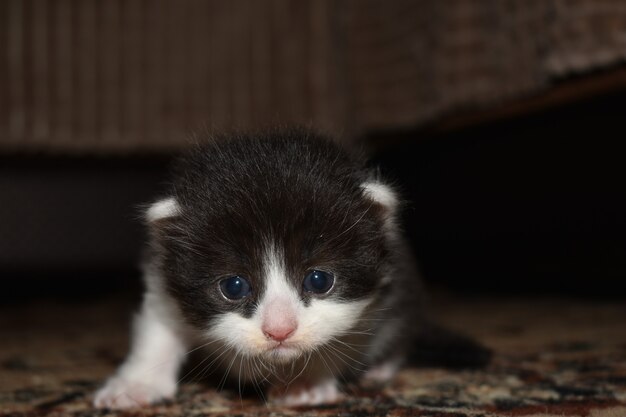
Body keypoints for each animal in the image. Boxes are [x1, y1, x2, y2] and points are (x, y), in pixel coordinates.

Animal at [91, 128, 424, 408]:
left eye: (319, 280)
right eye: (234, 286)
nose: (279, 330)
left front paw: (306, 381)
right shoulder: (162, 276)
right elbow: (158, 329)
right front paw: (135, 385)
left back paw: (380, 370)